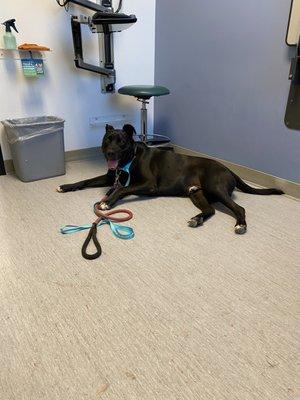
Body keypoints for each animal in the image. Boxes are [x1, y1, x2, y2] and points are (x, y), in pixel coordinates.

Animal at [57, 123, 284, 233]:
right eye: (107, 140)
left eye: (121, 141)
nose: (111, 153)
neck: (129, 160)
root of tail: (227, 168)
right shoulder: (109, 177)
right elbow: (86, 181)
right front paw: (67, 186)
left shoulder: (149, 184)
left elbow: (122, 189)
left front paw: (107, 203)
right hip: (196, 193)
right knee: (210, 210)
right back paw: (196, 219)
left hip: (216, 188)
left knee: (240, 208)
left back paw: (240, 225)